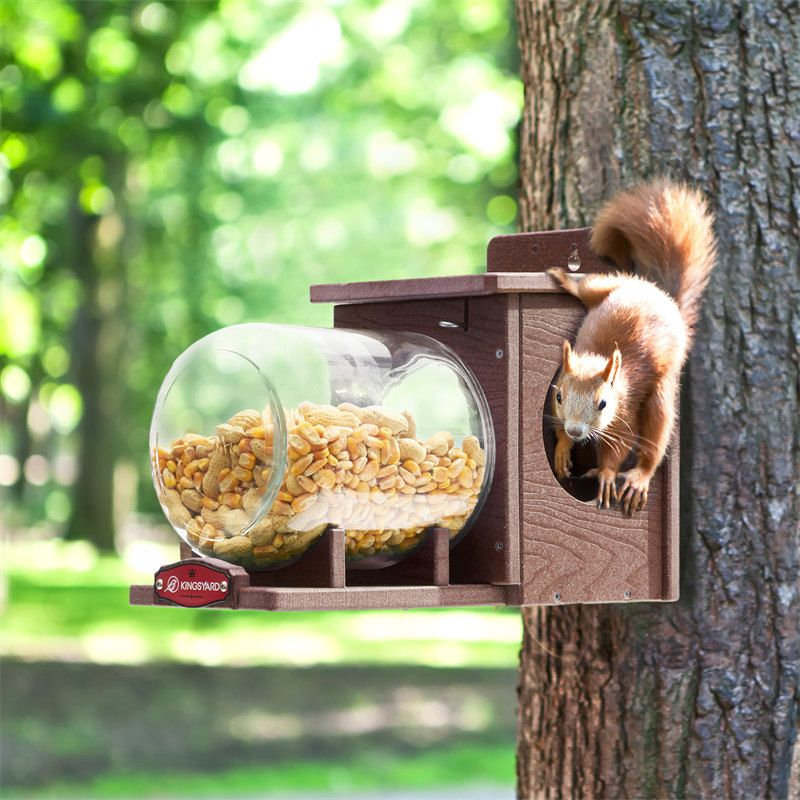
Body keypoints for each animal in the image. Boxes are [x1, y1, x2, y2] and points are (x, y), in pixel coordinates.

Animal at [546, 179, 717, 513]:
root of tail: (666, 300)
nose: (575, 430)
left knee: (657, 433)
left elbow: (621, 445)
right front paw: (562, 447)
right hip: (610, 286)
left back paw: (639, 477)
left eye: (603, 403)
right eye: (559, 396)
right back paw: (566, 279)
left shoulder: (624, 413)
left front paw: (606, 474)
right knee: (589, 288)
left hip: (662, 388)